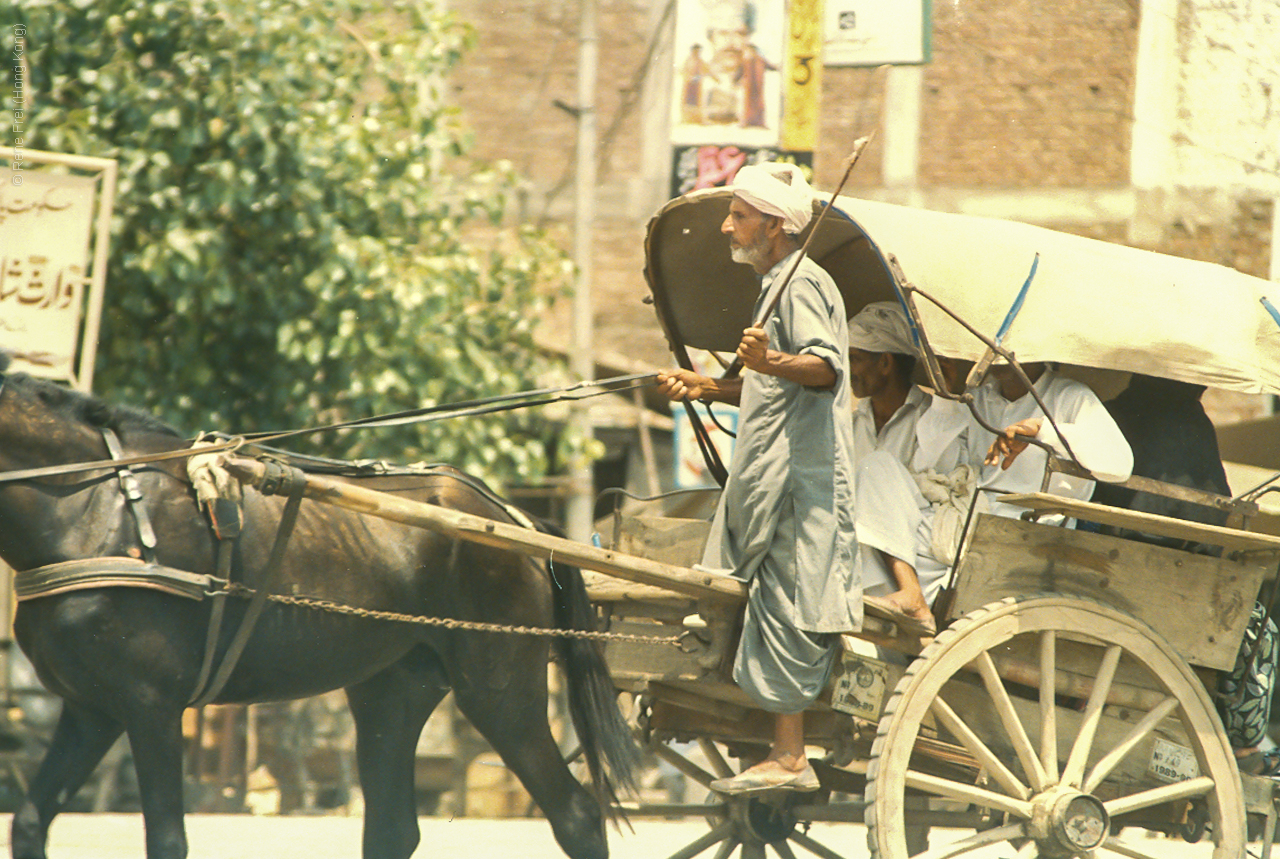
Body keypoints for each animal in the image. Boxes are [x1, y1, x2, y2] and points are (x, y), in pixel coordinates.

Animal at [0, 363, 634, 859]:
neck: (94, 507)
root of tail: (514, 520)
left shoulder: (150, 705)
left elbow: (167, 839)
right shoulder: (91, 709)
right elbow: (29, 824)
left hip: (500, 690)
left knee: (577, 817)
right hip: (392, 690)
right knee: (393, 830)